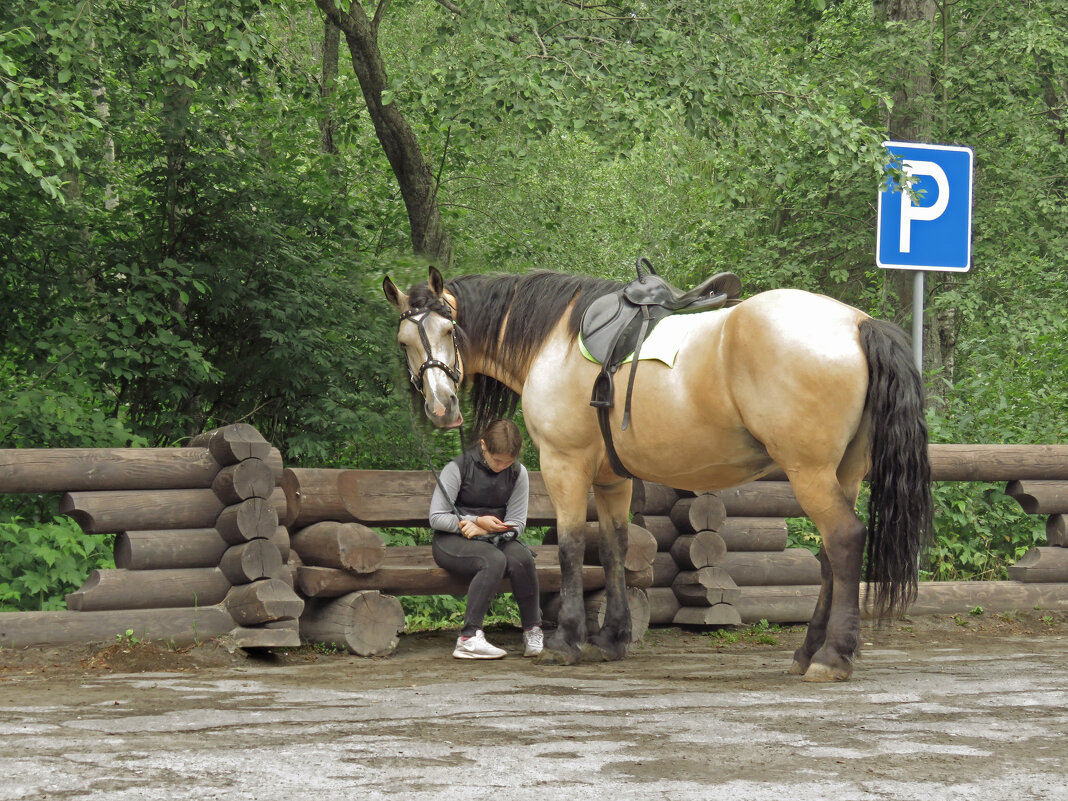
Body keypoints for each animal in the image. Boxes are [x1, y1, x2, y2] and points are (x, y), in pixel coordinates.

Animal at [382, 267, 927, 679]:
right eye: (405, 340)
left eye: (449, 331)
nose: (440, 407)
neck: (553, 342)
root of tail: (857, 323)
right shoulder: (611, 478)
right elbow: (615, 547)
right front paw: (612, 638)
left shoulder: (564, 465)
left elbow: (572, 547)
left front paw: (568, 640)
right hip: (842, 474)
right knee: (830, 556)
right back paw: (808, 651)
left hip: (808, 472)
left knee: (844, 540)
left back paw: (833, 656)